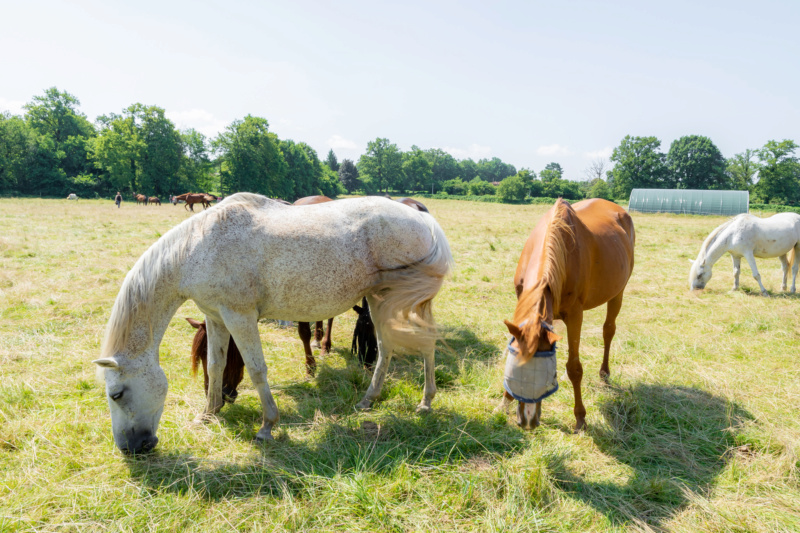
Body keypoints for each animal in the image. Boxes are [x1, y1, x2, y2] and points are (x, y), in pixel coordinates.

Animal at [93, 194, 450, 454]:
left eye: (116, 394)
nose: (130, 448)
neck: (197, 248)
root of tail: (423, 218)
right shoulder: (216, 317)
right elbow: (216, 363)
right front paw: (209, 413)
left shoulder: (239, 317)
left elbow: (256, 369)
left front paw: (267, 425)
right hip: (381, 300)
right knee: (388, 346)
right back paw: (369, 399)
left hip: (399, 301)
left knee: (423, 344)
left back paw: (425, 402)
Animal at [496, 197, 636, 430]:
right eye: (515, 371)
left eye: (547, 376)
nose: (528, 420)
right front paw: (504, 401)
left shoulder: (575, 315)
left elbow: (574, 368)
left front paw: (580, 417)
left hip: (618, 293)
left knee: (608, 331)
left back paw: (604, 372)